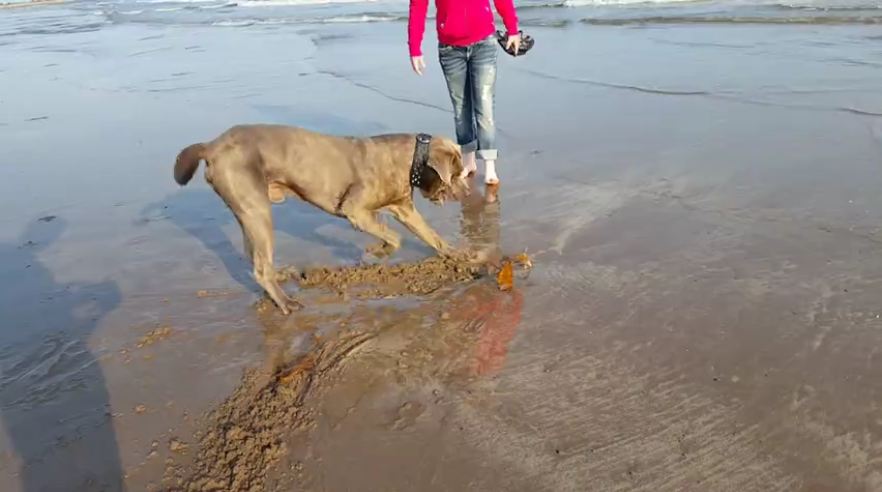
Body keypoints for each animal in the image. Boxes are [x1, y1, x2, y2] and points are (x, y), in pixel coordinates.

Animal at [168, 125, 464, 314]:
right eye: (458, 173)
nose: (466, 192)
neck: (411, 161)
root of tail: (211, 145)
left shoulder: (404, 208)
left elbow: (431, 235)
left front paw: (458, 254)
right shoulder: (354, 210)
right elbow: (394, 236)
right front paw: (375, 252)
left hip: (247, 211)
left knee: (255, 256)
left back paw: (281, 278)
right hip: (256, 208)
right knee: (260, 267)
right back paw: (287, 303)